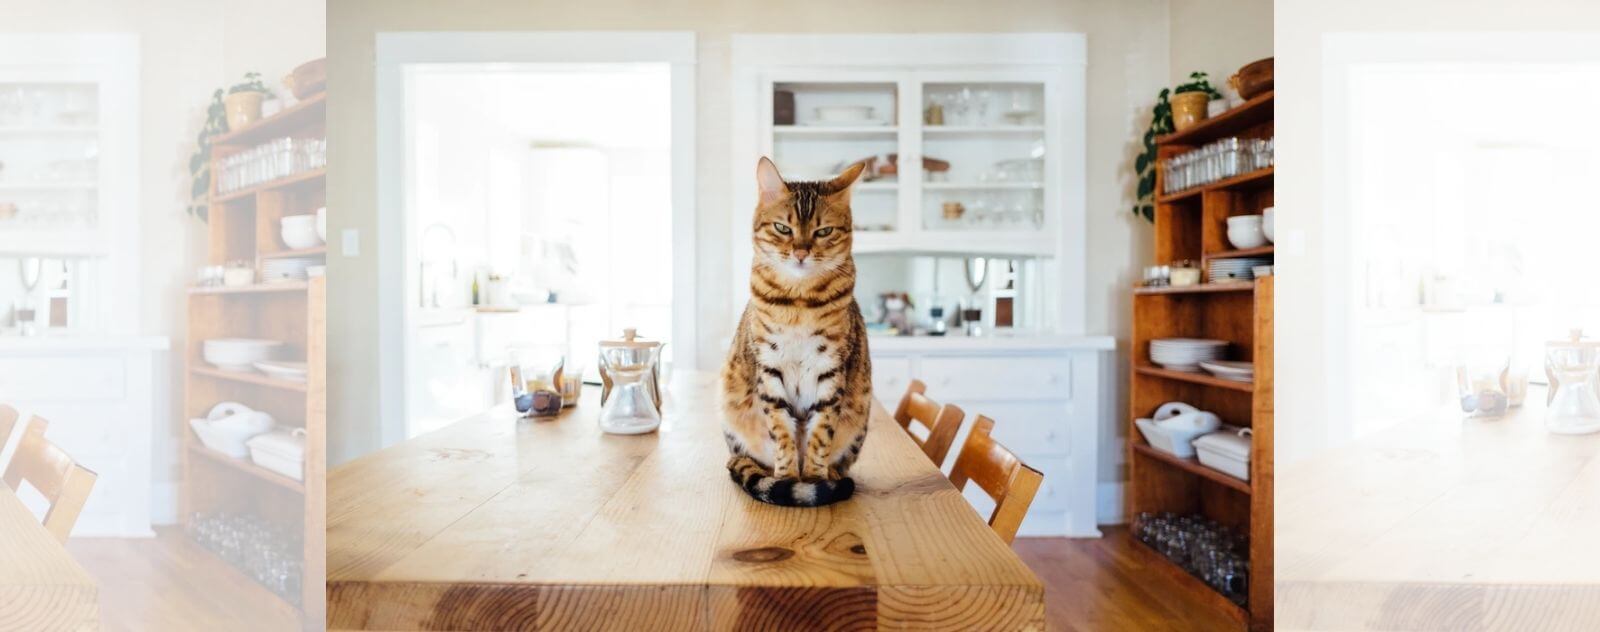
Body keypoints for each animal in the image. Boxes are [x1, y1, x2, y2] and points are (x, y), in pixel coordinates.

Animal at [726, 158, 876, 508]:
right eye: (783, 228)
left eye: (824, 232)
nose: (801, 252)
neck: (798, 301)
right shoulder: (769, 368)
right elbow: (781, 433)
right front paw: (787, 478)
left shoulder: (831, 369)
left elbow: (821, 434)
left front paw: (815, 479)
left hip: (860, 416)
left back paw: (832, 475)